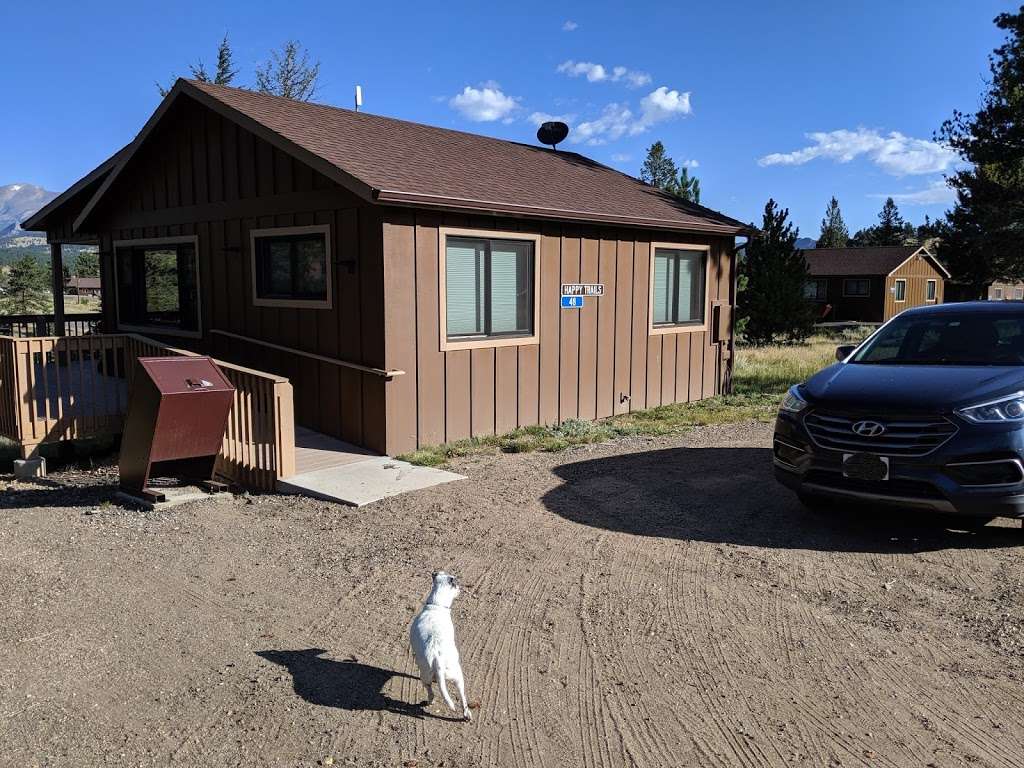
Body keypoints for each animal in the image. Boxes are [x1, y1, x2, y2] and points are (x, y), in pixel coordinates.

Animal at [407, 573, 471, 720]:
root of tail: (438, 658)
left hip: (425, 676)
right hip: (458, 676)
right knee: (462, 697)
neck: (436, 605)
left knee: (430, 691)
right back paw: (466, 714)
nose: (461, 589)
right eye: (457, 585)